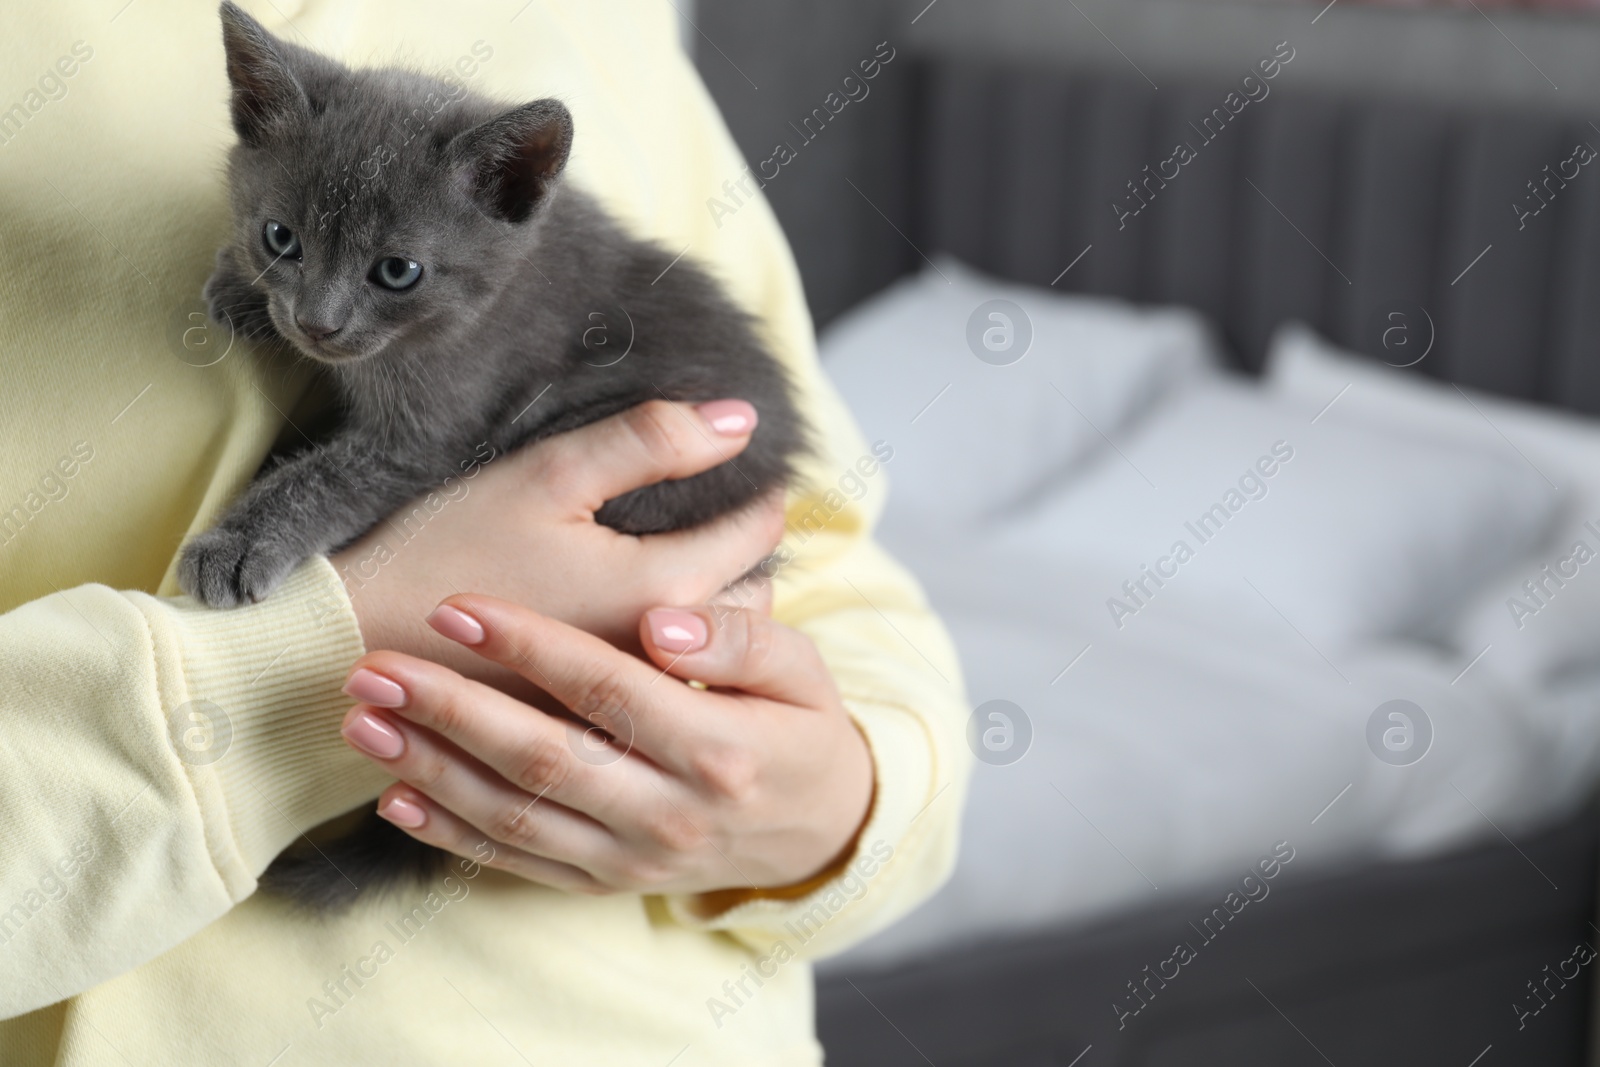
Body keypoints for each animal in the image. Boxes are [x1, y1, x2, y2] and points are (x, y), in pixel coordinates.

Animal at [187, 4, 806, 915]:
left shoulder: (433, 429)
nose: (317, 323)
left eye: (397, 270)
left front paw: (239, 542)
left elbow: (331, 479)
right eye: (280, 237)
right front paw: (243, 293)